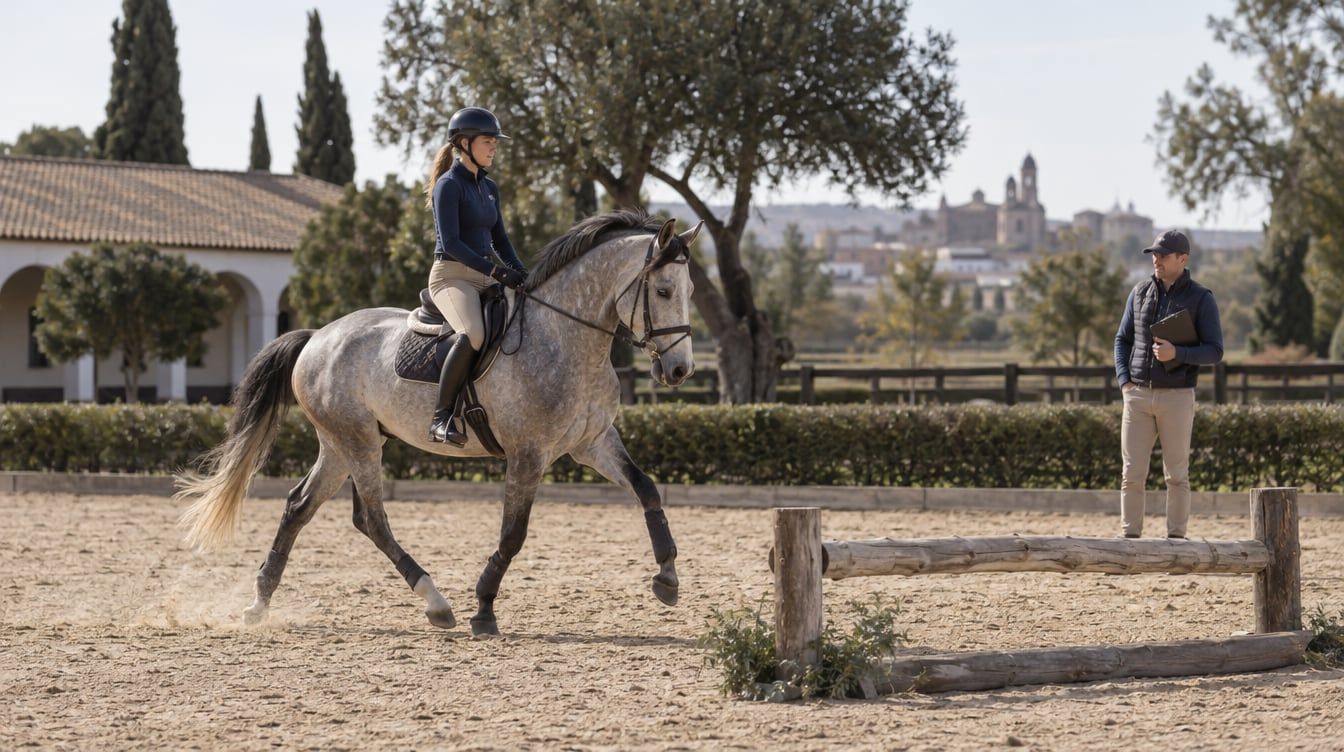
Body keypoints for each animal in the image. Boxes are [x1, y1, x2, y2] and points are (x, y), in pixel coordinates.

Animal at [176, 210, 701, 636]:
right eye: (663, 291)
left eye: (688, 292)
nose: (679, 372)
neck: (564, 337)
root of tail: (317, 337)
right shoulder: (527, 454)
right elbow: (513, 534)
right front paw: (484, 609)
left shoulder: (592, 442)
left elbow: (646, 488)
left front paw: (667, 578)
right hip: (357, 441)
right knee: (371, 518)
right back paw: (436, 603)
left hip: (340, 444)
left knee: (300, 507)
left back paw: (260, 602)